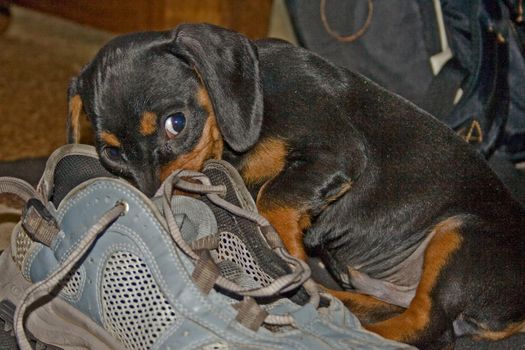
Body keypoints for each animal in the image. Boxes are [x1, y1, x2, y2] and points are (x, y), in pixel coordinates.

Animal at [66, 23, 524, 348]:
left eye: (175, 123)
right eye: (111, 154)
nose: (159, 209)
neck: (258, 99)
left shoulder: (339, 153)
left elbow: (273, 196)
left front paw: (284, 249)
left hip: (461, 237)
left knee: (428, 327)